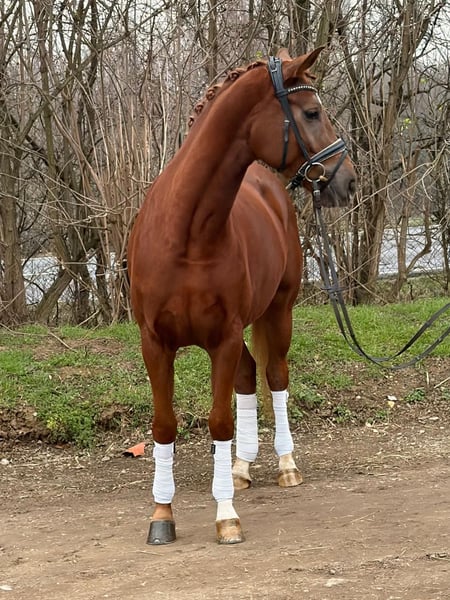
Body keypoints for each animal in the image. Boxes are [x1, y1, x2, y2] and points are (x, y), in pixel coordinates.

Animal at [127, 47, 356, 545]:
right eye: (312, 112)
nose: (347, 180)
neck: (187, 235)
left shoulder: (225, 338)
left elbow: (219, 420)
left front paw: (226, 517)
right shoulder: (155, 343)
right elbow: (164, 425)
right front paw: (161, 516)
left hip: (279, 311)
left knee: (275, 375)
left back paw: (285, 466)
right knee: (250, 377)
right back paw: (241, 468)